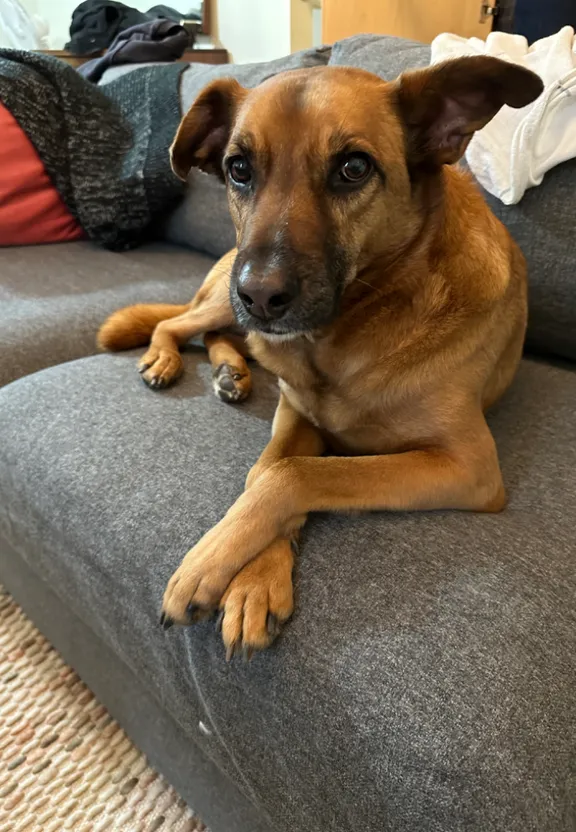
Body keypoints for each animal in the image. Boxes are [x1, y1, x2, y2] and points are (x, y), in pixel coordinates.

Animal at [99, 57, 544, 656]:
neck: (344, 337)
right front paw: (253, 576)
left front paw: (212, 566)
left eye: (354, 168)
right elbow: (269, 468)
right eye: (238, 169)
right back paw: (172, 361)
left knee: (217, 337)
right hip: (220, 303)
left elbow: (293, 474)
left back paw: (229, 371)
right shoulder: (295, 409)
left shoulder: (467, 465)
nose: (260, 296)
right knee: (177, 323)